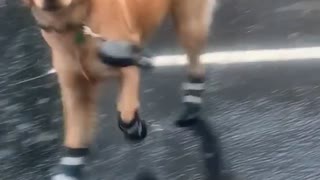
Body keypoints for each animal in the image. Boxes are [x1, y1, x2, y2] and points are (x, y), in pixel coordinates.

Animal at [23, 0, 218, 179]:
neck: (74, 22)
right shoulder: (75, 92)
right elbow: (75, 141)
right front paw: (69, 169)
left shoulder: (128, 70)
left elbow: (126, 114)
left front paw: (135, 129)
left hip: (190, 26)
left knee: (196, 66)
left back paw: (191, 106)